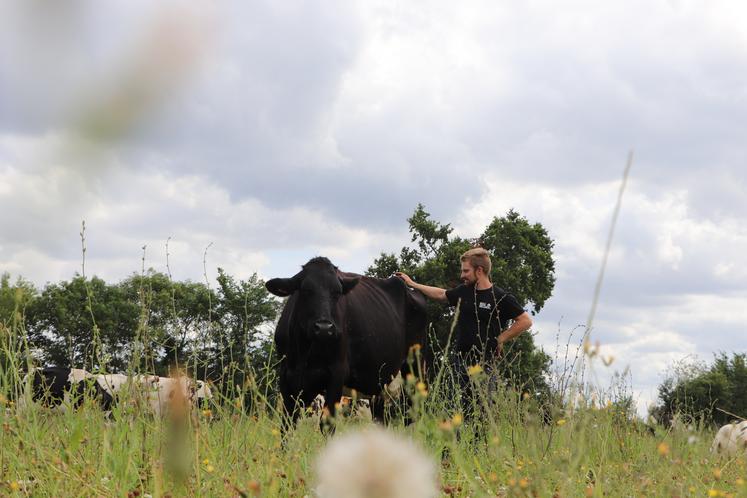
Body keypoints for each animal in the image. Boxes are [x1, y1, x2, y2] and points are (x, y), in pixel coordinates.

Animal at [266, 256, 426, 428]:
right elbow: (287, 423)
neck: (305, 353)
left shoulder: (336, 374)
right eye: (306, 290)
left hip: (414, 368)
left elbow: (327, 423)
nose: (324, 328)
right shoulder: (287, 377)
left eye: (337, 293)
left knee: (411, 412)